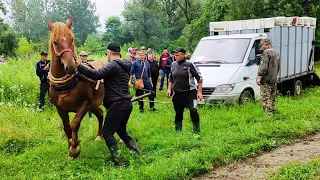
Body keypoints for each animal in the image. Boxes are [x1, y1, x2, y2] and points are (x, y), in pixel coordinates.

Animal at [47, 17, 104, 158]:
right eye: (55, 42)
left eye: (71, 39)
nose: (71, 66)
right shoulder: (60, 108)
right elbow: (66, 127)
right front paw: (70, 148)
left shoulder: (85, 104)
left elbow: (75, 124)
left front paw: (74, 147)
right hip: (94, 104)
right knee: (100, 114)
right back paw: (99, 136)